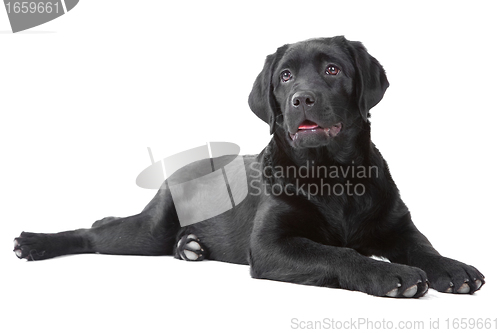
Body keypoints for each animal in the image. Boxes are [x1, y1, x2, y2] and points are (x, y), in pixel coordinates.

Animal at [13, 35, 484, 296]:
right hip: (147, 231)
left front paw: (454, 268)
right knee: (94, 234)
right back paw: (34, 242)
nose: (301, 100)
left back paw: (190, 247)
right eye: (285, 77)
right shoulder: (273, 244)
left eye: (333, 70)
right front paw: (390, 274)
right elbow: (338, 252)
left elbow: (425, 247)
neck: (333, 175)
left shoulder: (397, 225)